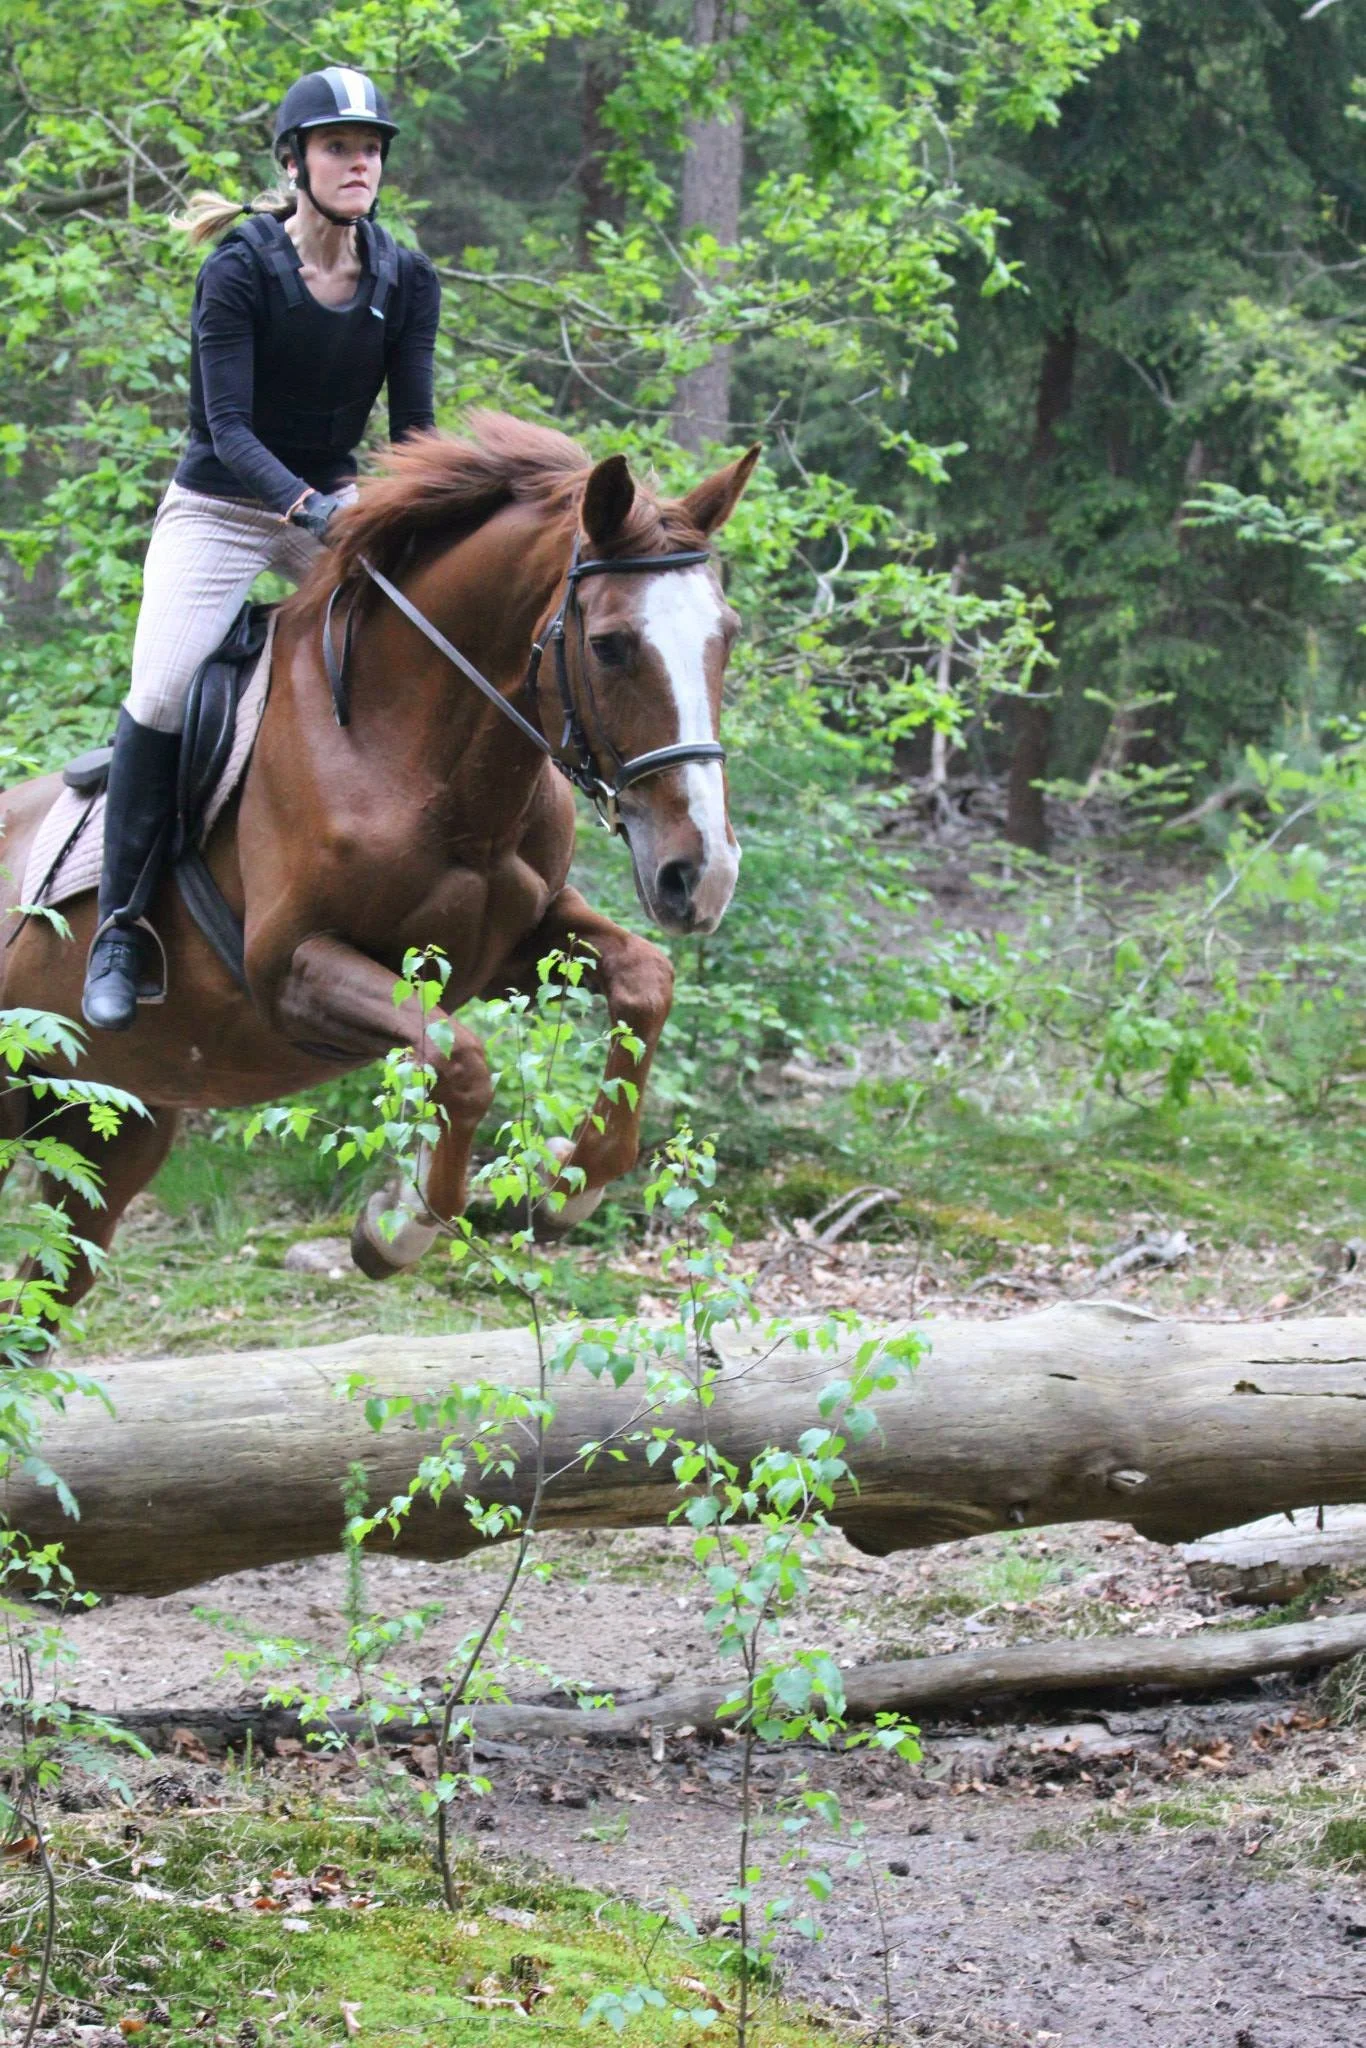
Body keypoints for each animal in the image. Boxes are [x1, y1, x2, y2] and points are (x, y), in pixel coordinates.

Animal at [0, 413, 759, 1308]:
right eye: (609, 647)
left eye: (726, 636)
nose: (701, 874)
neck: (412, 755)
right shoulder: (291, 970)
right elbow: (462, 1061)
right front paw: (400, 1225)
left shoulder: (515, 943)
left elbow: (646, 981)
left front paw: (571, 1186)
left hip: (104, 1136)